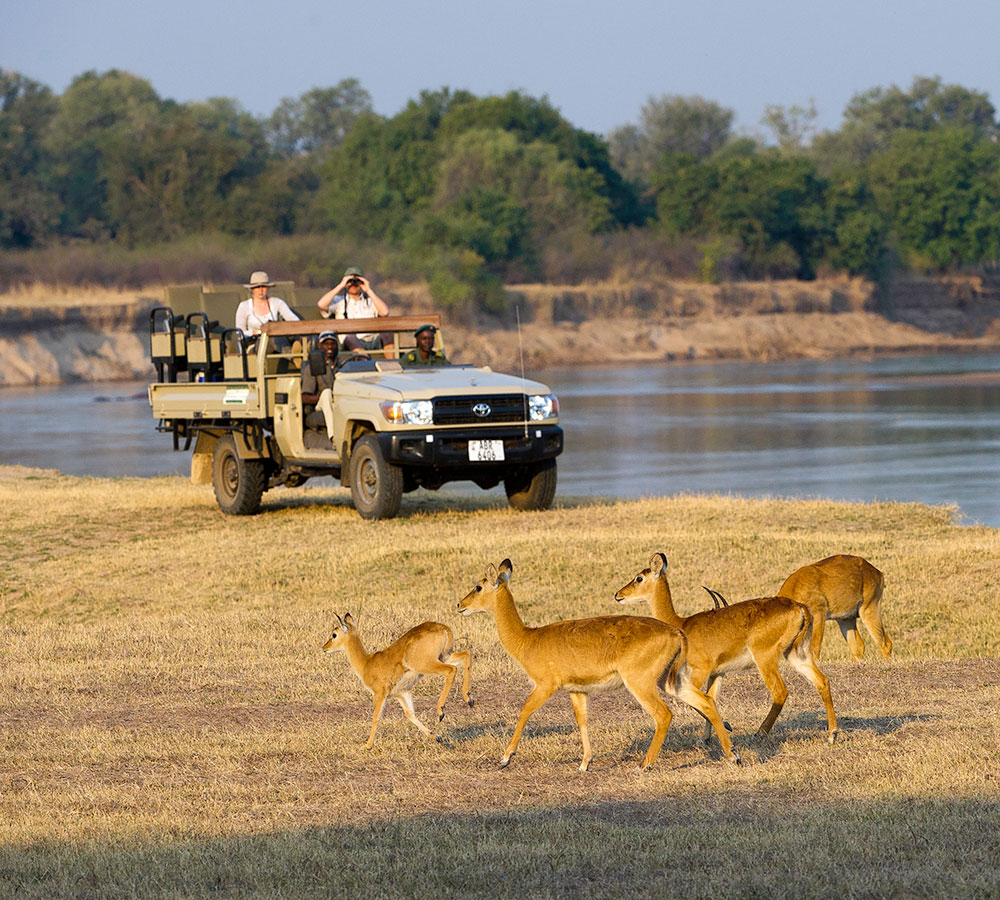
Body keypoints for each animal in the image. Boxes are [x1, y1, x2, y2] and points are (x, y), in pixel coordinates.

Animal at [322, 612, 474, 752]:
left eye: (334, 634)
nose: (324, 647)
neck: (366, 663)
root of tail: (443, 628)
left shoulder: (379, 694)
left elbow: (376, 717)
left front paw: (367, 745)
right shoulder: (402, 693)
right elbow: (410, 714)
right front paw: (436, 736)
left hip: (426, 664)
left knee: (451, 670)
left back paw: (441, 712)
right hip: (444, 656)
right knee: (466, 654)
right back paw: (469, 699)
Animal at [458, 560, 740, 768]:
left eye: (479, 586)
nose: (460, 604)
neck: (528, 639)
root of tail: (676, 632)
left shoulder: (545, 685)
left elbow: (525, 710)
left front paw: (505, 758)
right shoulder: (577, 690)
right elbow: (582, 720)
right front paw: (585, 763)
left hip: (640, 683)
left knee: (664, 714)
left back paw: (645, 764)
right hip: (671, 680)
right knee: (706, 701)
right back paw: (733, 755)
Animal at [612, 556, 840, 744]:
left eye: (639, 578)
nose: (618, 595)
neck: (682, 624)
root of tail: (799, 607)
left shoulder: (700, 671)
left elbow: (698, 701)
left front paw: (726, 727)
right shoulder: (718, 673)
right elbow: (710, 699)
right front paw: (706, 737)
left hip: (765, 658)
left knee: (780, 692)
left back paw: (759, 733)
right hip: (796, 654)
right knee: (822, 681)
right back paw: (832, 734)